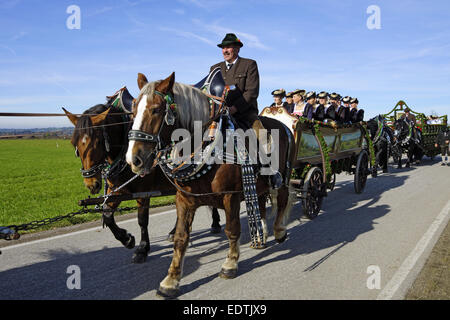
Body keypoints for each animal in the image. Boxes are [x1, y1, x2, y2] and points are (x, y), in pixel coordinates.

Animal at [63, 96, 221, 262]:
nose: (91, 184)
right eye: (75, 145)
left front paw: (142, 248)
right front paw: (126, 239)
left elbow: (142, 219)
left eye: (97, 142)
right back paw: (175, 231)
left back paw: (215, 223)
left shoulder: (143, 192)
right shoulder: (119, 190)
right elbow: (107, 214)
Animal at [126, 72, 296, 298]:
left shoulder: (230, 195)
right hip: (258, 185)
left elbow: (232, 230)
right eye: (133, 111)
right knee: (260, 203)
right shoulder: (184, 199)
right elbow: (181, 238)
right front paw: (171, 280)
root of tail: (284, 126)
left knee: (283, 198)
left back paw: (279, 230)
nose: (133, 159)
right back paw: (262, 235)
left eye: (155, 109)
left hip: (283, 177)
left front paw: (230, 264)